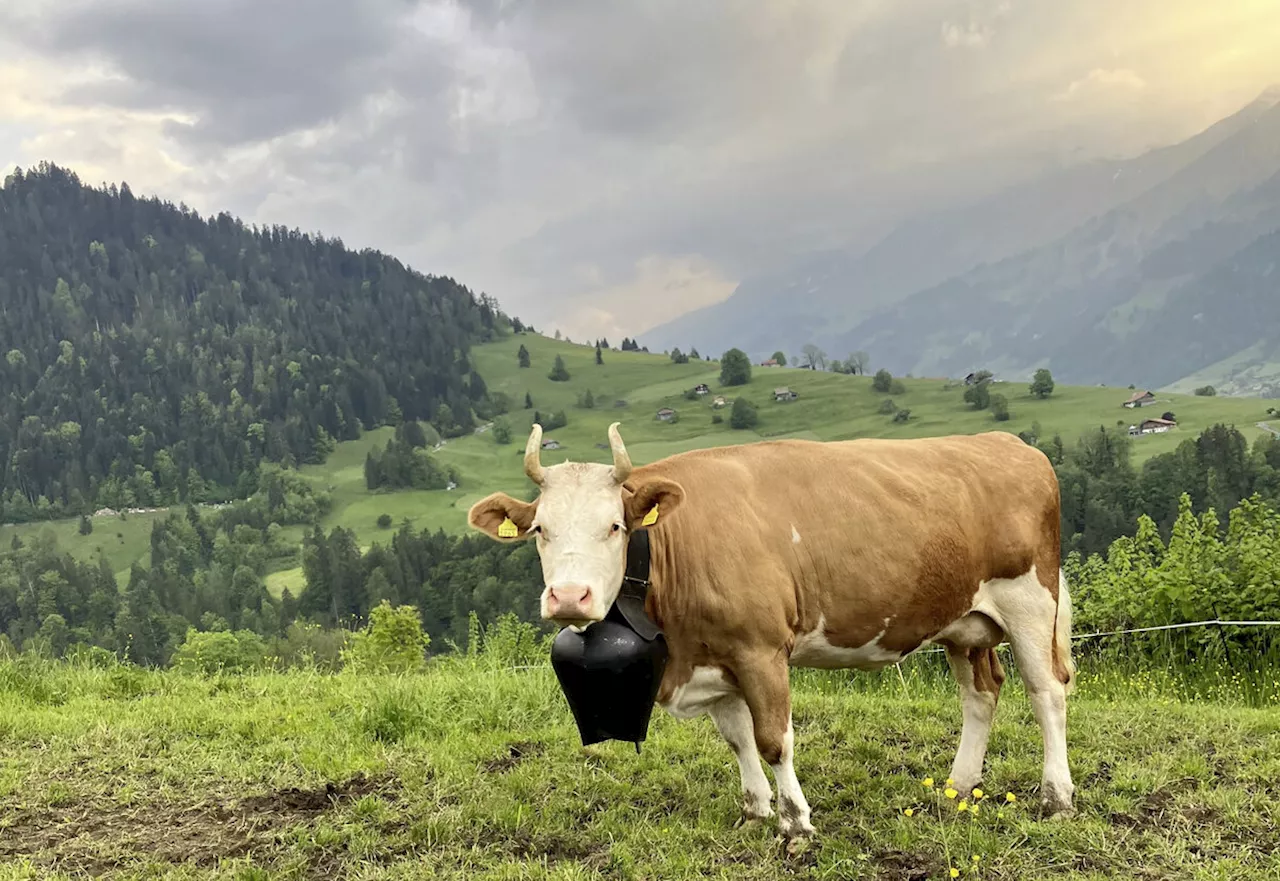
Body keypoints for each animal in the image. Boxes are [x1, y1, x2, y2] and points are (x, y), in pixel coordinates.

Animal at [465, 422, 1075, 850]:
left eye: (614, 526)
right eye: (540, 529)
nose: (569, 597)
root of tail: (1007, 443)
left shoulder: (759, 650)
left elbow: (773, 739)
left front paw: (796, 824)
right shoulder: (715, 655)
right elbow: (738, 739)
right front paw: (754, 813)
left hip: (1029, 600)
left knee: (1046, 692)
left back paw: (1056, 798)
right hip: (965, 621)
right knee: (982, 693)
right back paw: (957, 789)